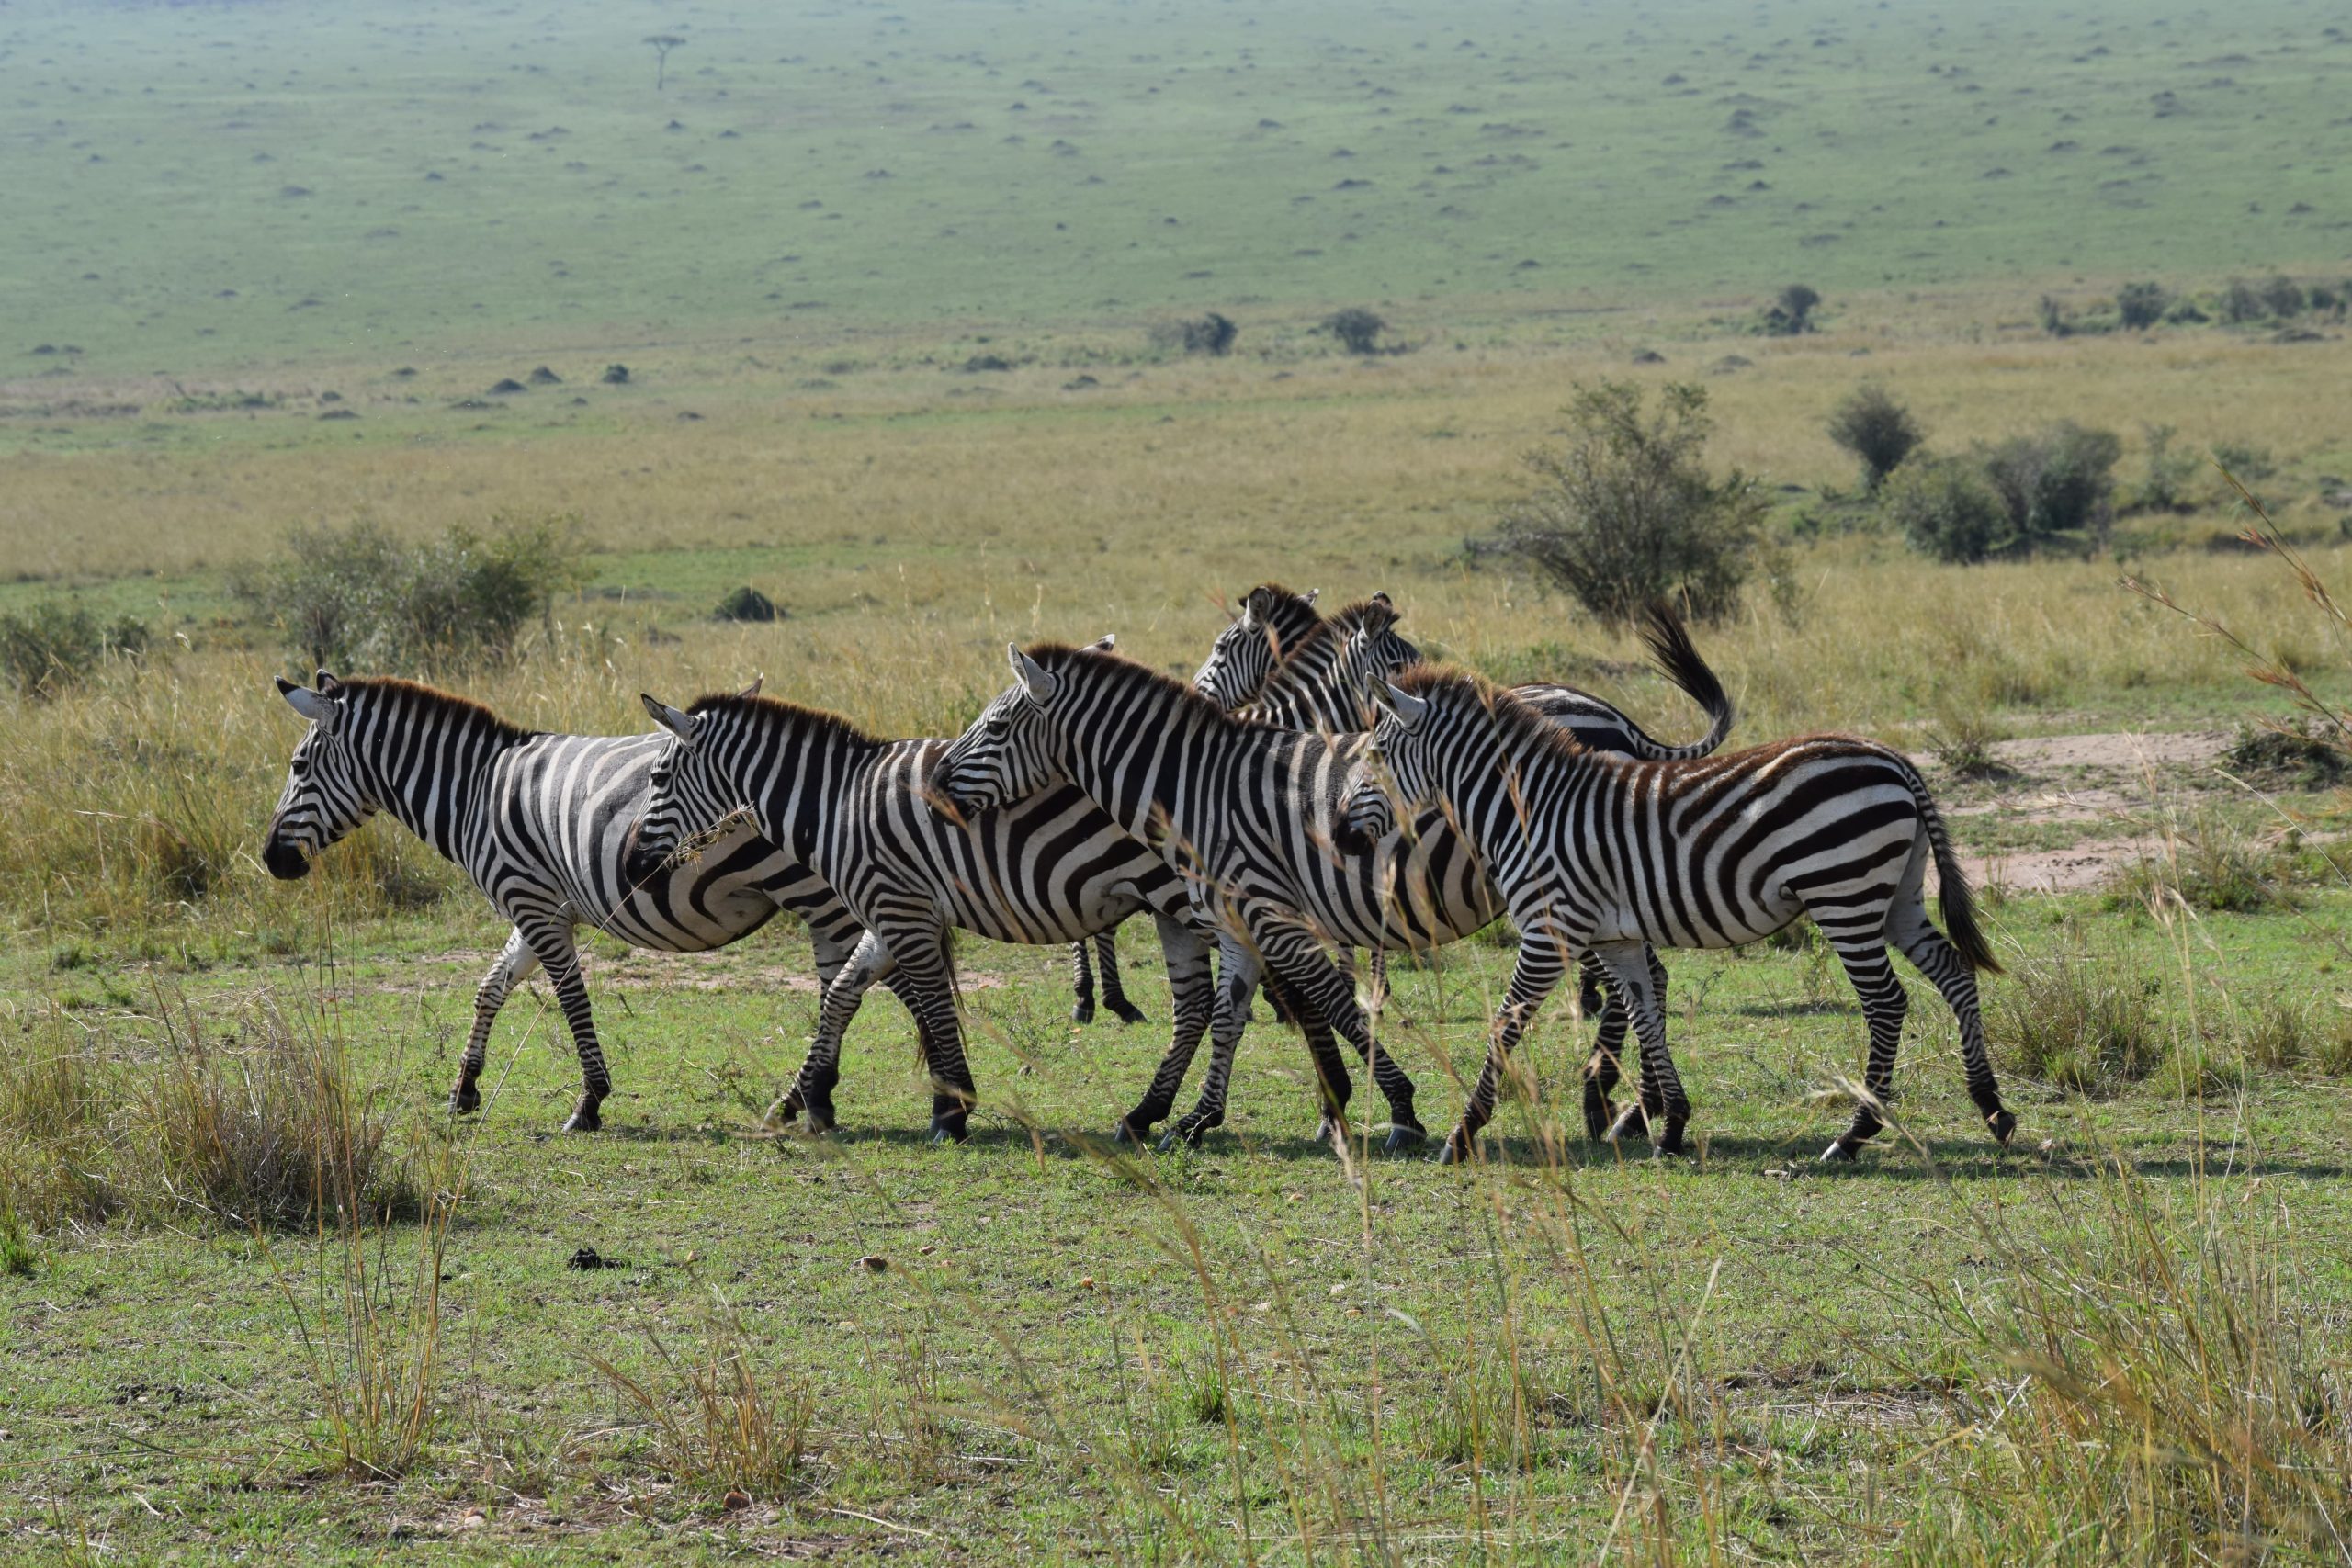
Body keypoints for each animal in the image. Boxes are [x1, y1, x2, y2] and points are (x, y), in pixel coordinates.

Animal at [257, 667, 884, 1133]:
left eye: (297, 766)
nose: (271, 860)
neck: (472, 792)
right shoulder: (535, 904)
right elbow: (490, 987)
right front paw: (465, 1088)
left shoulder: (532, 902)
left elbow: (570, 999)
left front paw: (590, 1101)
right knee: (844, 979)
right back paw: (814, 1095)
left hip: (817, 893)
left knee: (845, 982)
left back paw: (808, 1095)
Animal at [625, 667, 1374, 1146]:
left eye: (658, 777)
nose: (632, 863)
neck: (836, 802)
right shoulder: (889, 911)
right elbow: (842, 994)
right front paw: (804, 1095)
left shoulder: (900, 906)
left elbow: (931, 1003)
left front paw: (950, 1110)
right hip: (1176, 907)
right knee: (1206, 1003)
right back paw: (1166, 1112)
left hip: (1194, 901)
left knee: (1282, 986)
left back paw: (1328, 1104)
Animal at [1345, 662, 2022, 1166]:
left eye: (1375, 752)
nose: (1342, 835)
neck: (1528, 810)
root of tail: (1892, 756)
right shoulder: (1614, 937)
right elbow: (1647, 1017)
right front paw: (1669, 1125)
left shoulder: (1548, 929)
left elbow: (1505, 1024)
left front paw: (1463, 1134)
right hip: (1896, 896)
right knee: (1955, 973)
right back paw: (1992, 1108)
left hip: (1844, 893)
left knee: (1886, 1003)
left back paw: (1856, 1133)